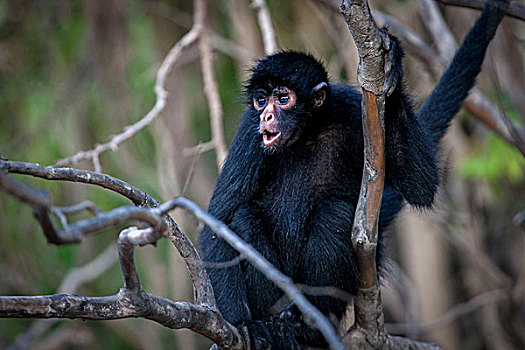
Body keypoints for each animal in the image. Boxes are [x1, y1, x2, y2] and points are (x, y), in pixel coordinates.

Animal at [198, 1, 508, 348]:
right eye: (261, 100)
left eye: (284, 99)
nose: (266, 115)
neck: (308, 133)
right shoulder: (250, 132)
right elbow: (220, 221)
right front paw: (242, 323)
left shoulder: (350, 107)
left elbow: (421, 186)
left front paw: (390, 67)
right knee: (245, 218)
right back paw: (272, 323)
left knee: (333, 214)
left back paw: (308, 323)